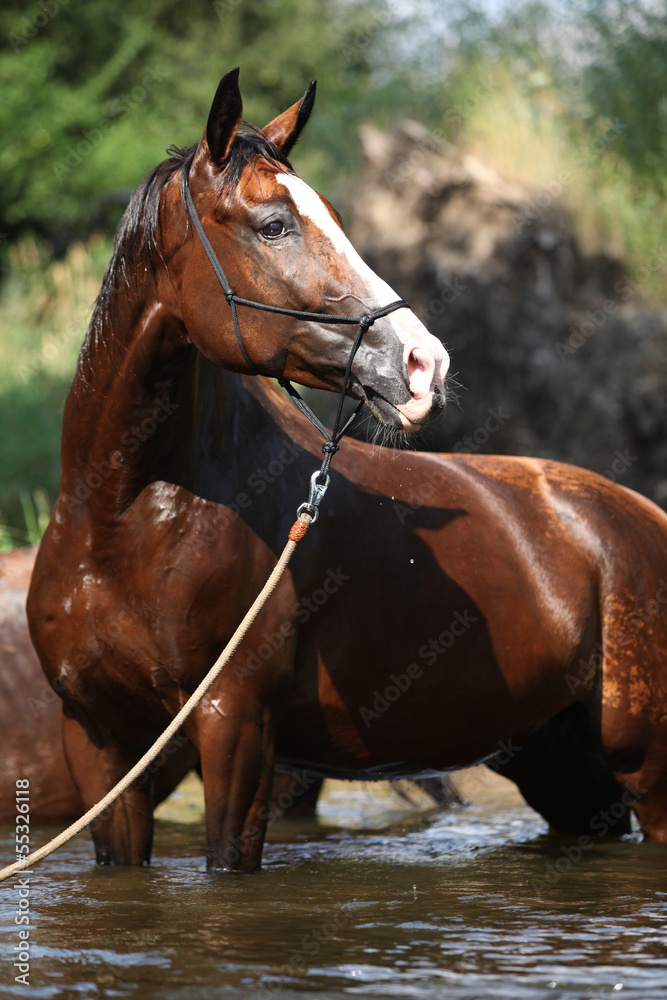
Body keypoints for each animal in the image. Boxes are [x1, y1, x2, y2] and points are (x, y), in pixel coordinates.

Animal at [27, 68, 667, 873]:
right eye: (274, 224)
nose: (425, 365)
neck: (121, 519)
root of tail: (641, 516)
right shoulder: (98, 740)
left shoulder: (235, 730)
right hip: (560, 763)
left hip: (649, 765)